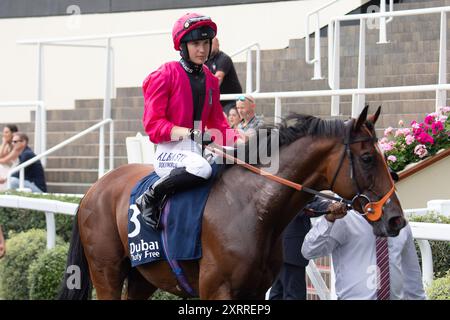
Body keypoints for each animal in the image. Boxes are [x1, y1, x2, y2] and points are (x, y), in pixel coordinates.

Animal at [58, 106, 406, 298]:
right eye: (367, 158)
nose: (396, 219)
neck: (251, 210)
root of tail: (94, 188)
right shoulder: (217, 291)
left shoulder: (256, 290)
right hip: (107, 272)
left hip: (143, 276)